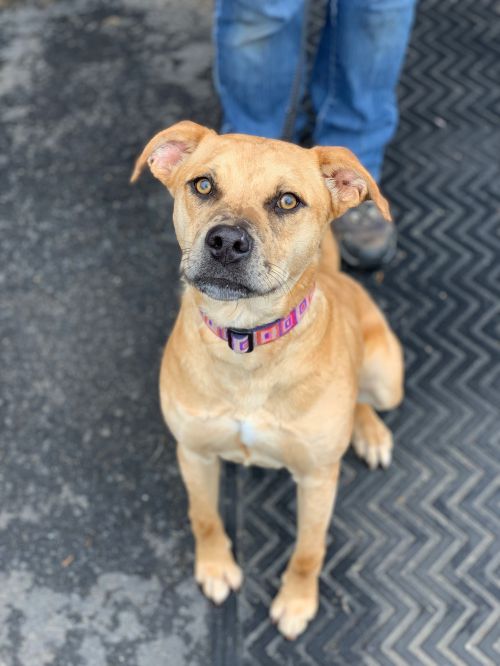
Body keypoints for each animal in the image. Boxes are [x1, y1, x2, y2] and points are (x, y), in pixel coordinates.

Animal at [132, 120, 402, 640]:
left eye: (288, 201)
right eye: (203, 185)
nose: (225, 242)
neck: (246, 344)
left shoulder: (317, 478)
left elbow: (308, 551)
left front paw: (296, 603)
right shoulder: (193, 451)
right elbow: (204, 517)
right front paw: (216, 568)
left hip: (387, 379)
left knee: (364, 396)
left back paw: (371, 432)